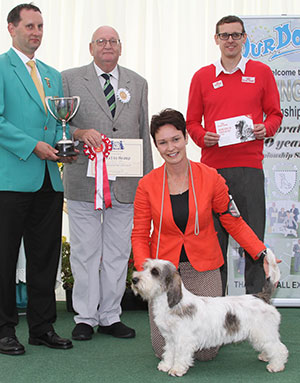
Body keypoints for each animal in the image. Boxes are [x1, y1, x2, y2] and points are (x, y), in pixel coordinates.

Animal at [131, 249, 288, 378]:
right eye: (145, 267)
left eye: (155, 272)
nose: (133, 279)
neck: (170, 303)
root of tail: (262, 296)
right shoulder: (170, 338)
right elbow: (169, 352)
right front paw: (165, 365)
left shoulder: (183, 339)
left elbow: (180, 355)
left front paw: (176, 369)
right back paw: (266, 357)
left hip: (264, 332)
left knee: (280, 348)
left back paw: (276, 366)